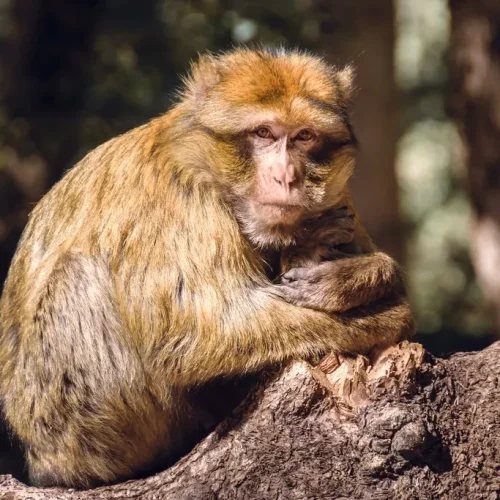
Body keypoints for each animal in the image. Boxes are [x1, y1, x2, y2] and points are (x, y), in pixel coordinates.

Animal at [0, 47, 414, 488]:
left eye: (304, 136)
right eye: (264, 133)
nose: (286, 176)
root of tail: (44, 462)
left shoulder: (340, 196)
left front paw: (360, 276)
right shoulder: (181, 199)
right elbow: (199, 330)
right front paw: (383, 316)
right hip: (78, 426)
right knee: (78, 275)